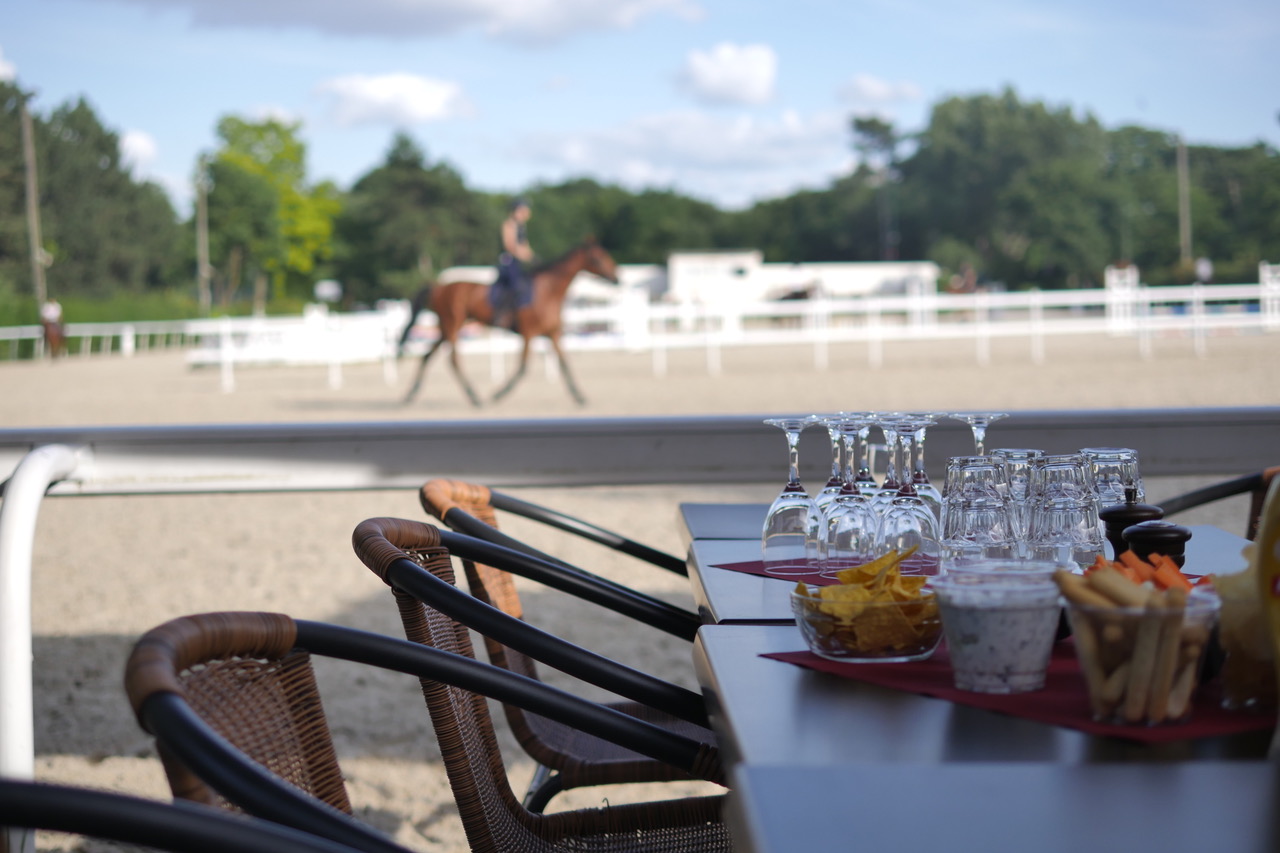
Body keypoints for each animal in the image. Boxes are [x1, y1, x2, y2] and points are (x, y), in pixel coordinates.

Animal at [399, 236, 619, 407]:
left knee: (426, 356)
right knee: (452, 360)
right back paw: (475, 397)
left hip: (446, 329)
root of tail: (437, 287)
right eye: (598, 257)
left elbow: (565, 364)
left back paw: (410, 395)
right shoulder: (529, 333)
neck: (548, 291)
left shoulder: (553, 333)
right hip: (452, 325)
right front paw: (498, 394)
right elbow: (523, 367)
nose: (617, 278)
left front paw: (580, 397)